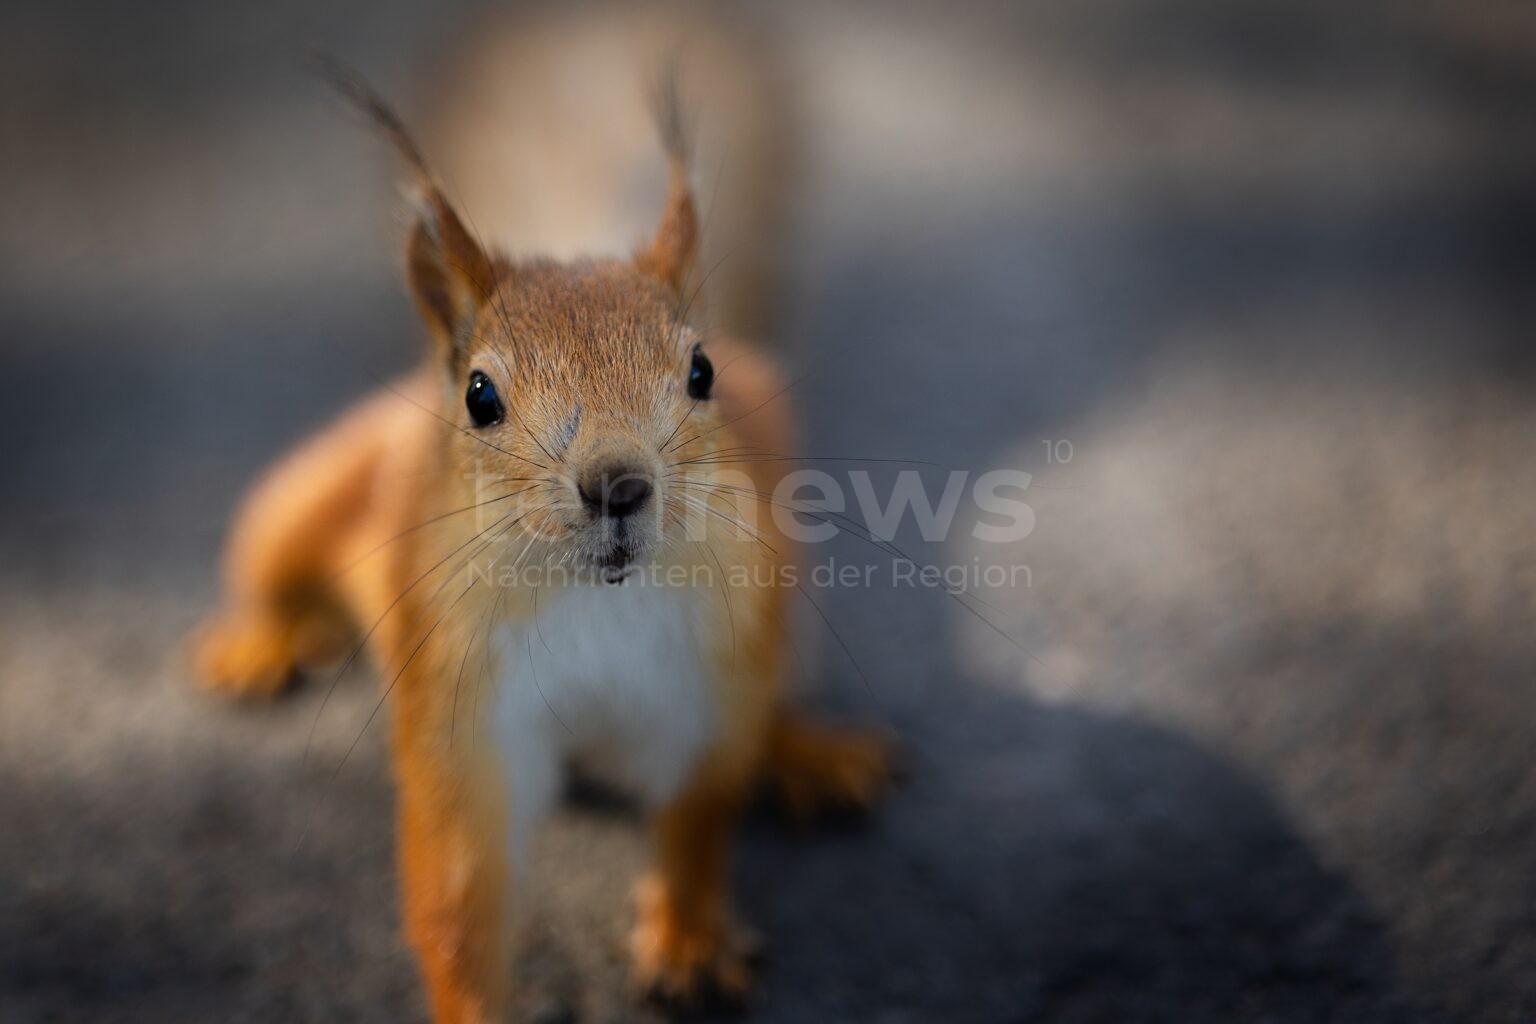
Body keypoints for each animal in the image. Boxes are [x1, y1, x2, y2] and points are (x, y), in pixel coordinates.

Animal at [189, 46, 893, 1022]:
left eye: (702, 370)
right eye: (480, 395)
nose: (618, 484)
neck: (592, 598)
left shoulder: (709, 681)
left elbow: (701, 815)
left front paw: (688, 938)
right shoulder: (459, 705)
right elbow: (458, 885)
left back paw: (809, 751)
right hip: (310, 494)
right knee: (277, 561)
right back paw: (259, 642)